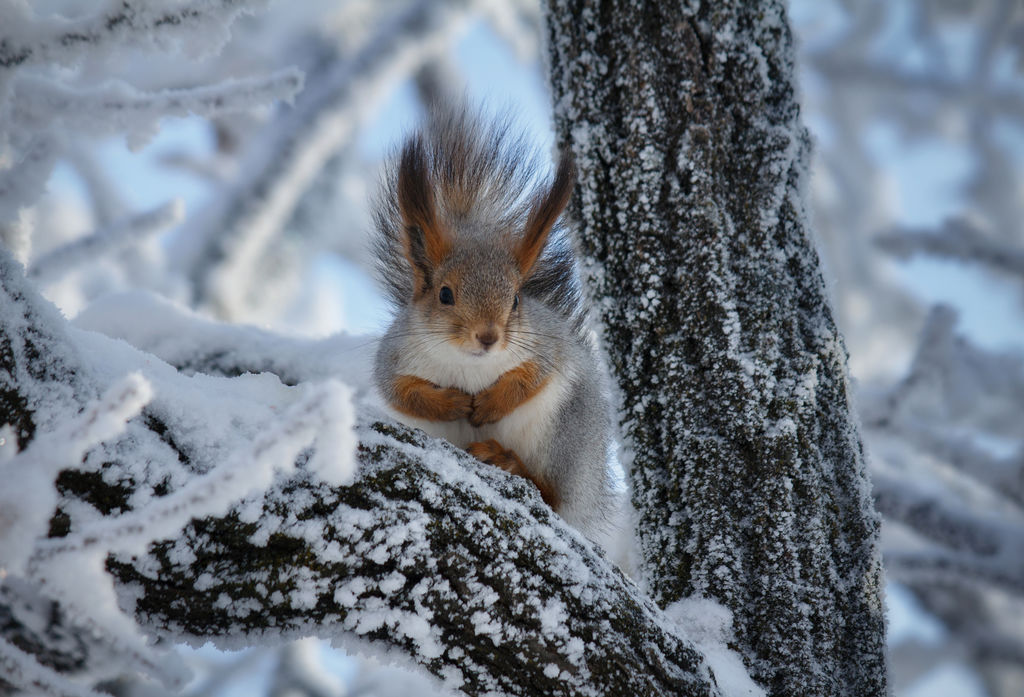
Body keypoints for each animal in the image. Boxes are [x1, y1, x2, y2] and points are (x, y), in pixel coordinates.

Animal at [374, 108, 614, 536]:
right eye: (445, 294)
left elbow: (533, 377)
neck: (470, 365)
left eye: (516, 299)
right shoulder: (394, 355)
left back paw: (507, 461)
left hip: (566, 440)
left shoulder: (547, 346)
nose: (488, 337)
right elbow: (401, 392)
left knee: (552, 494)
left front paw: (488, 405)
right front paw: (451, 403)